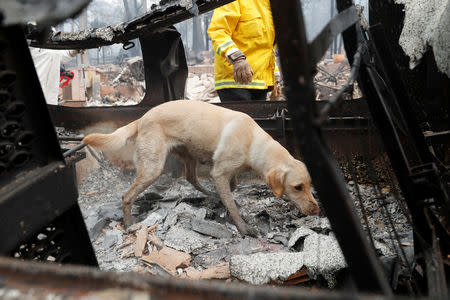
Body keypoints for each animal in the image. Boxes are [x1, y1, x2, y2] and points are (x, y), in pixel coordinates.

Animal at [82, 101, 318, 237]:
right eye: (297, 187)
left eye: (309, 185)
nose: (316, 210)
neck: (253, 141)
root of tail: (142, 118)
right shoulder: (219, 172)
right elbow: (231, 204)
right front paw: (242, 227)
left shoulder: (224, 172)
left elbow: (232, 186)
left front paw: (224, 196)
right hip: (152, 168)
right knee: (127, 196)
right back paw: (130, 223)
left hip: (188, 154)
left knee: (191, 178)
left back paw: (211, 194)